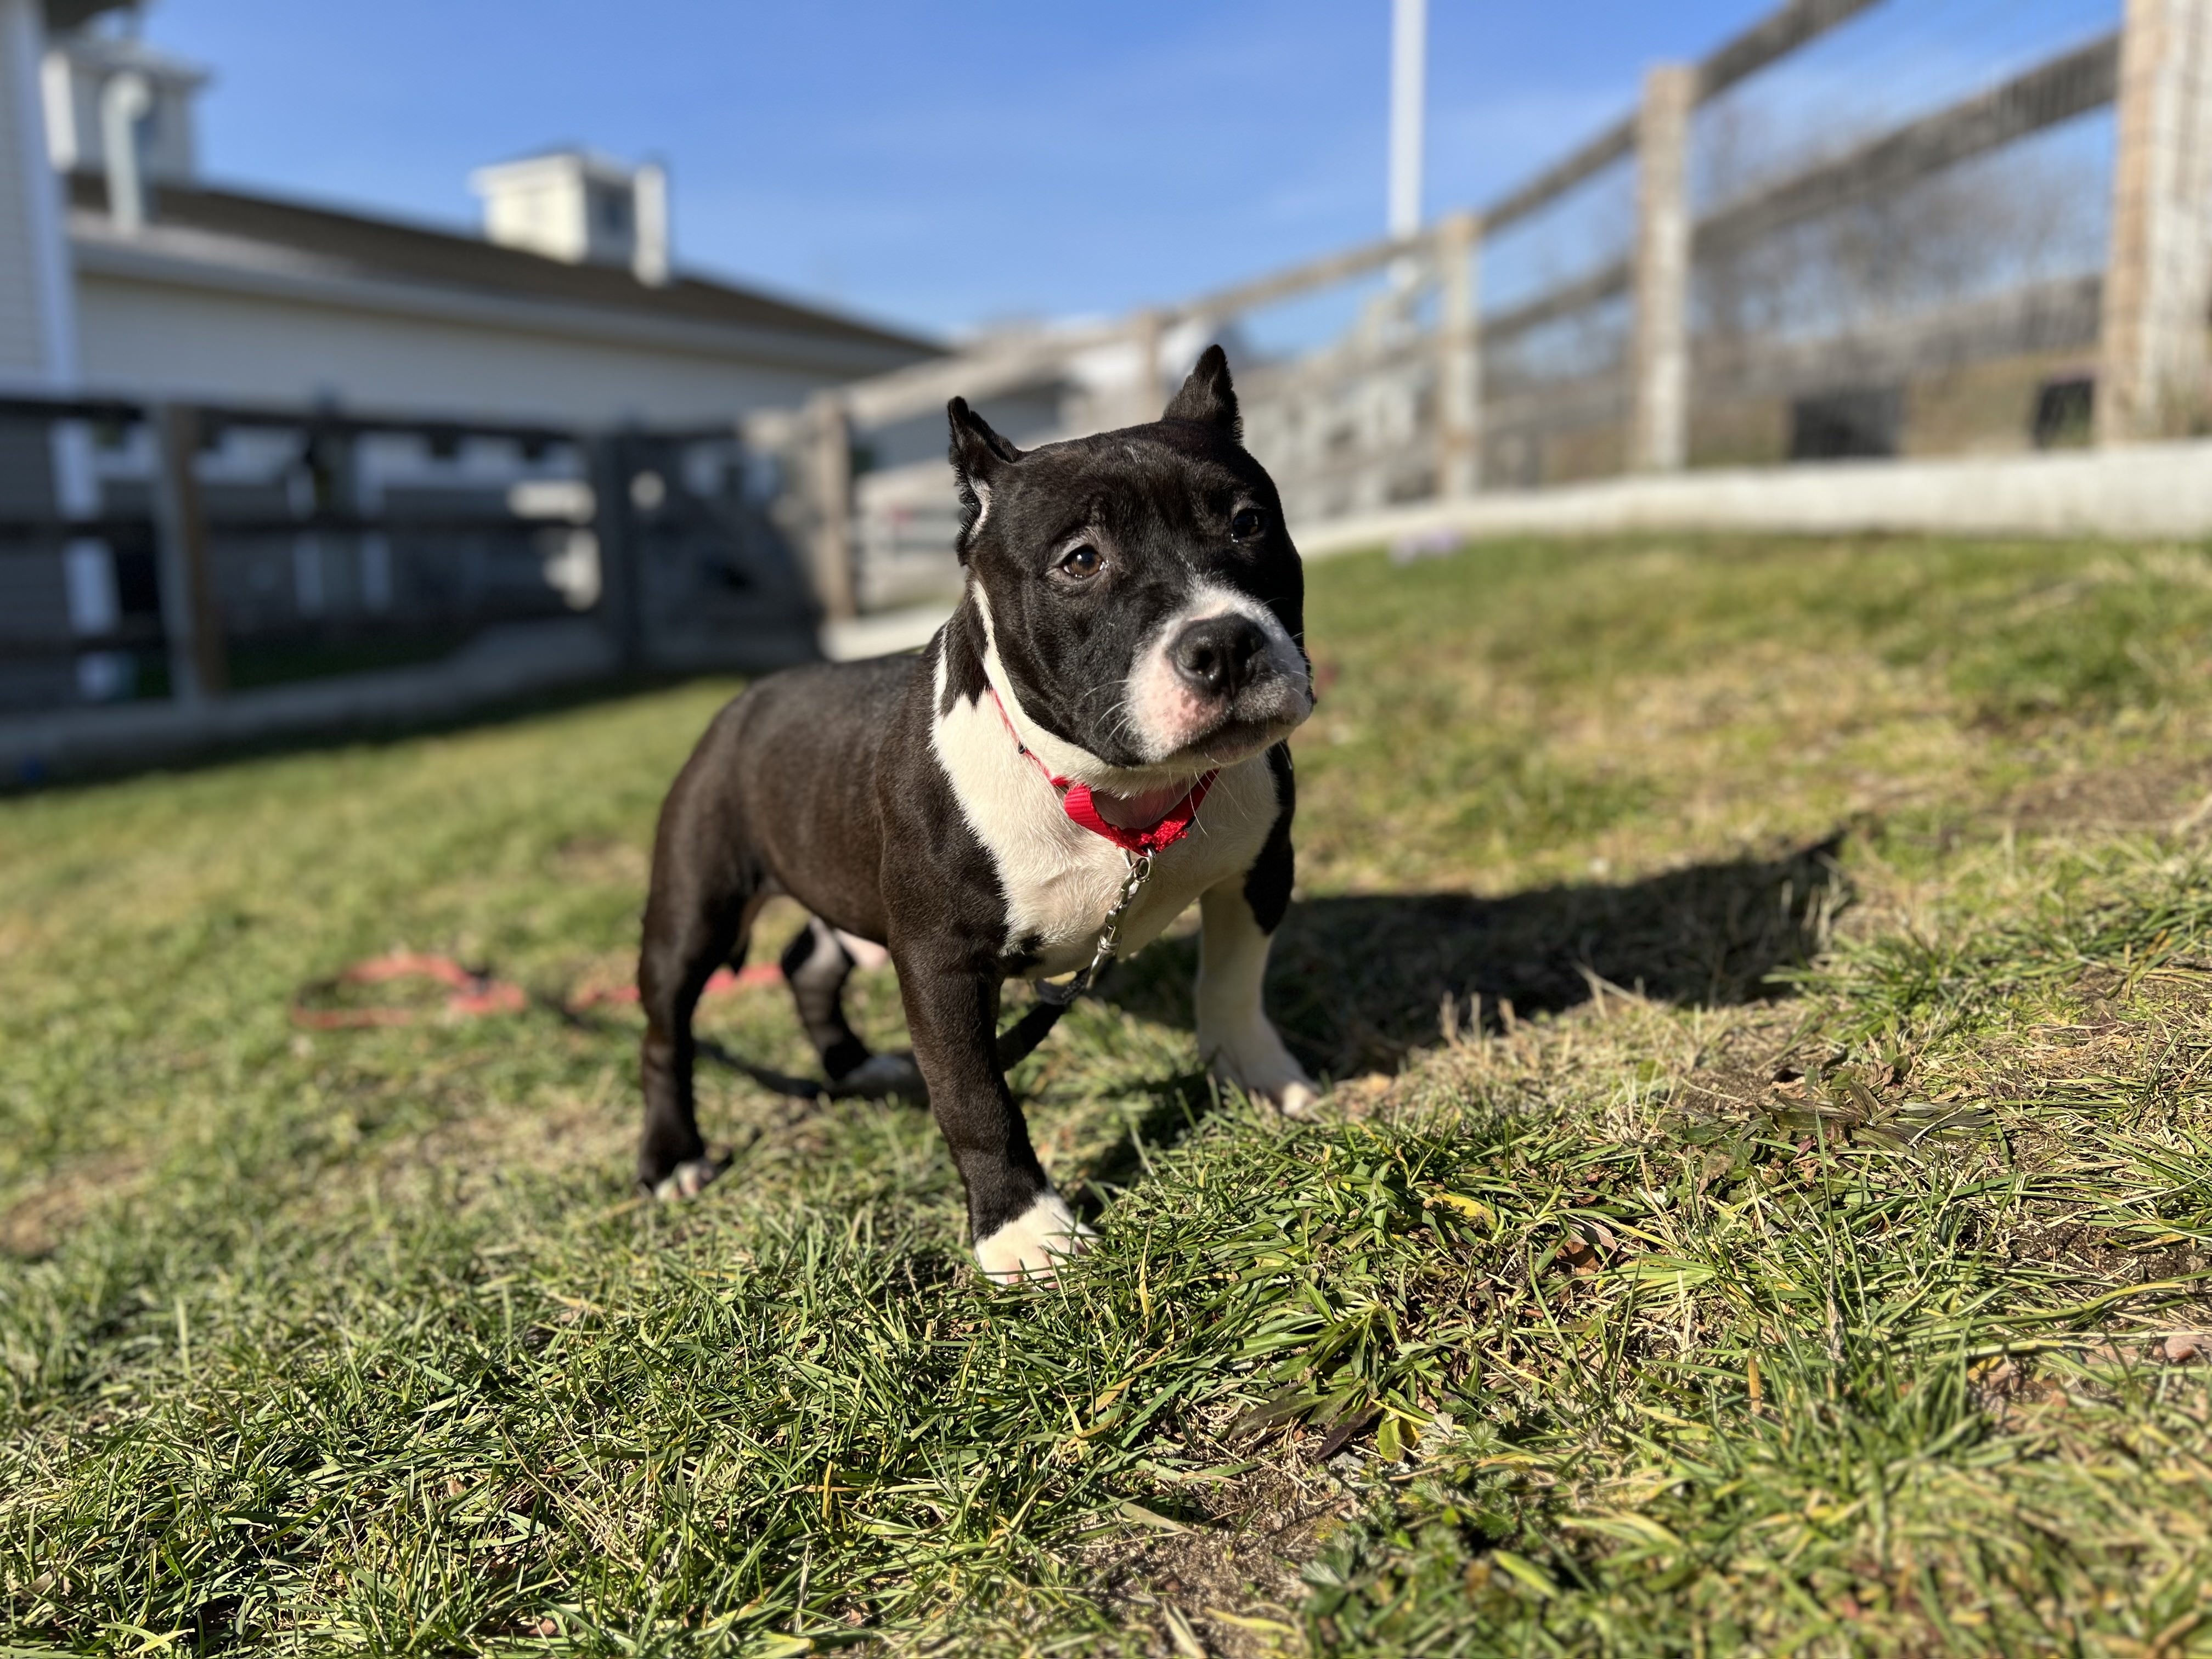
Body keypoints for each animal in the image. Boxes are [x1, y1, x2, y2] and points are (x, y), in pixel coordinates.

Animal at [633, 347, 1309, 1283]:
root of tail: (746, 699)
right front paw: (1023, 1232)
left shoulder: (1257, 871)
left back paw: (855, 1066)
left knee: (809, 962)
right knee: (668, 1029)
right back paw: (673, 1158)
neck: (1113, 792)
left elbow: (1233, 986)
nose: (1226, 643)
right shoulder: (941, 962)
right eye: (1081, 560)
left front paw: (1256, 1076)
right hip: (694, 905)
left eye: (1249, 523)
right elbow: (975, 1098)